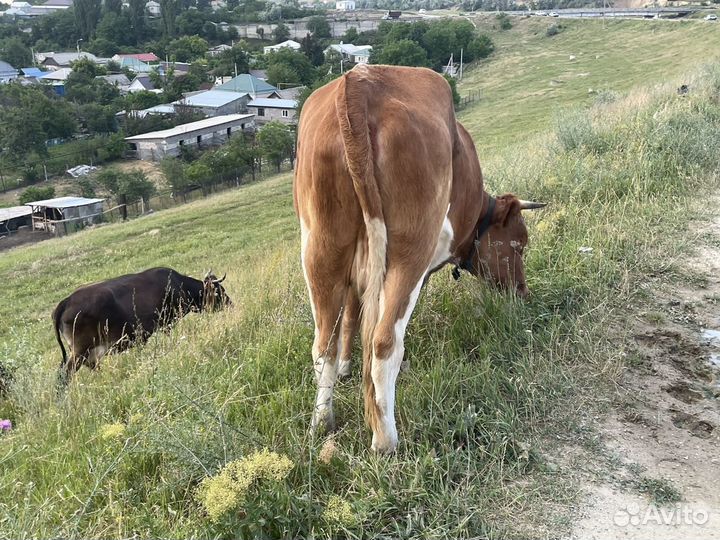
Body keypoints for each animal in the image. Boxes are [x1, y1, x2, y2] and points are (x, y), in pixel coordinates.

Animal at [53, 264, 231, 384]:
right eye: (219, 290)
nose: (231, 303)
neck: (177, 285)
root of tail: (67, 301)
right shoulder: (167, 323)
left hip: (85, 353)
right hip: (80, 351)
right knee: (64, 375)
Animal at [292, 64, 544, 452]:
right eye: (518, 243)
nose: (522, 291)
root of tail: (359, 83)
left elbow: (351, 316)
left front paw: (348, 366)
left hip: (321, 247)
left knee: (323, 346)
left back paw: (323, 424)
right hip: (410, 249)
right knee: (384, 341)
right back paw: (385, 439)